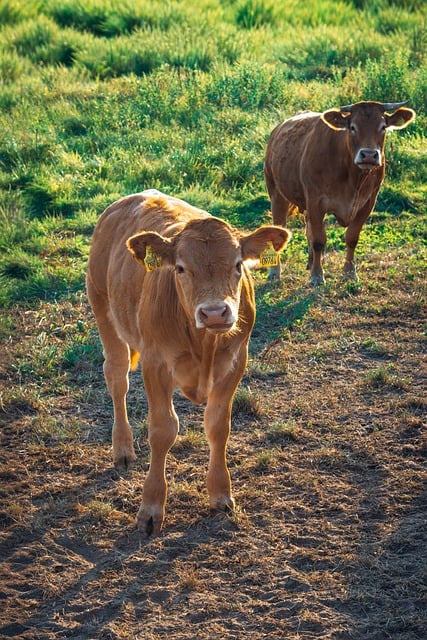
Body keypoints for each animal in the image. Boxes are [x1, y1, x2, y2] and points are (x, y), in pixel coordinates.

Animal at [86, 190, 291, 535]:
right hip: (103, 310)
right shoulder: (155, 364)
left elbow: (218, 426)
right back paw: (123, 449)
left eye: (238, 264)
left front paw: (221, 494)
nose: (214, 312)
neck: (203, 342)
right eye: (180, 268)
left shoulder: (236, 361)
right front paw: (151, 507)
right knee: (116, 378)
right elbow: (162, 430)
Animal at [264, 100, 415, 285]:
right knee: (279, 229)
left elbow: (351, 238)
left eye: (383, 127)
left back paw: (310, 262)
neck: (352, 178)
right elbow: (318, 240)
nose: (369, 155)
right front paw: (317, 275)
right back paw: (275, 272)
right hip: (276, 193)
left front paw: (349, 273)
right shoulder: (315, 201)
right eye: (352, 127)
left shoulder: (367, 203)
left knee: (308, 230)